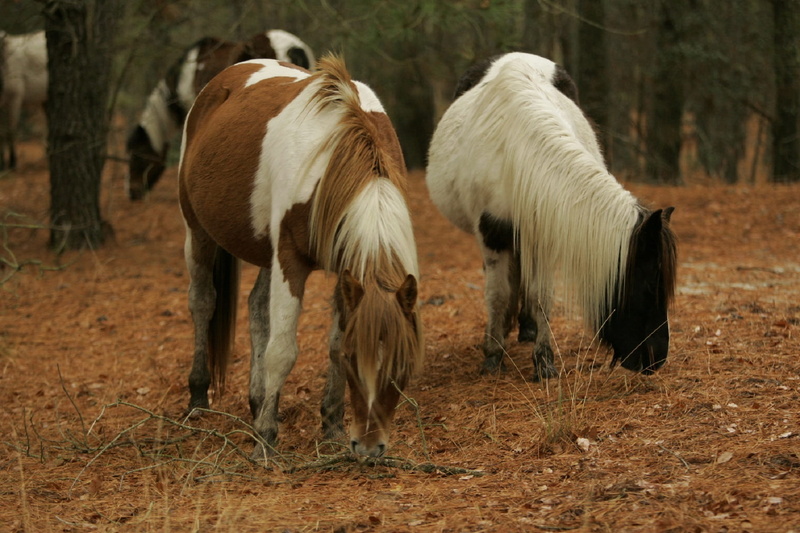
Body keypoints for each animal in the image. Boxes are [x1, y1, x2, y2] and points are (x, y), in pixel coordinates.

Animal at [178, 55, 423, 459]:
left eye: (402, 364)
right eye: (356, 360)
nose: (369, 447)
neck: (336, 154)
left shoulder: (344, 268)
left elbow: (332, 342)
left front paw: (332, 424)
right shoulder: (289, 259)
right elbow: (283, 351)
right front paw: (265, 438)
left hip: (264, 250)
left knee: (256, 305)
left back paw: (256, 400)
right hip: (198, 230)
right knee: (202, 301)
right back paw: (198, 397)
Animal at [426, 52, 677, 381]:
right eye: (648, 284)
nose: (656, 359)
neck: (516, 156)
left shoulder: (542, 231)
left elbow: (542, 298)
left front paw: (544, 361)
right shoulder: (491, 233)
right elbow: (497, 294)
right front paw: (493, 355)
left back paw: (525, 328)